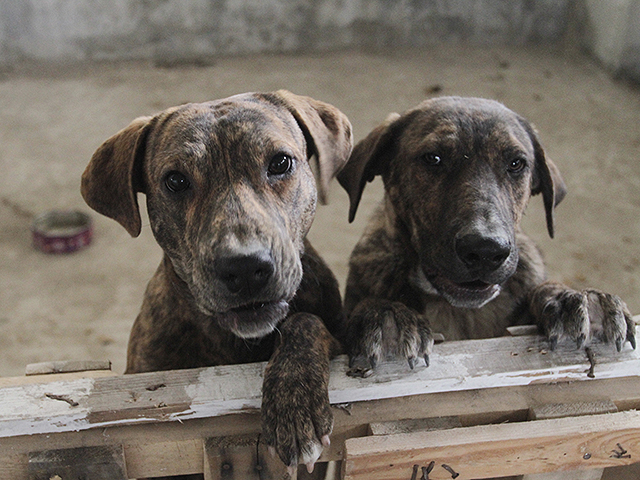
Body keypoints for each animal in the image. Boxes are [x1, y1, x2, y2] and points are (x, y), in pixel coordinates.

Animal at [82, 89, 352, 472]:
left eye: (280, 163)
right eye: (176, 180)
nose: (245, 267)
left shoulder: (341, 336)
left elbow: (305, 321)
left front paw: (294, 403)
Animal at [340, 96, 636, 376]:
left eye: (516, 163)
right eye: (433, 158)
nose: (485, 251)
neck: (460, 311)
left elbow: (545, 288)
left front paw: (572, 298)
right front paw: (386, 314)